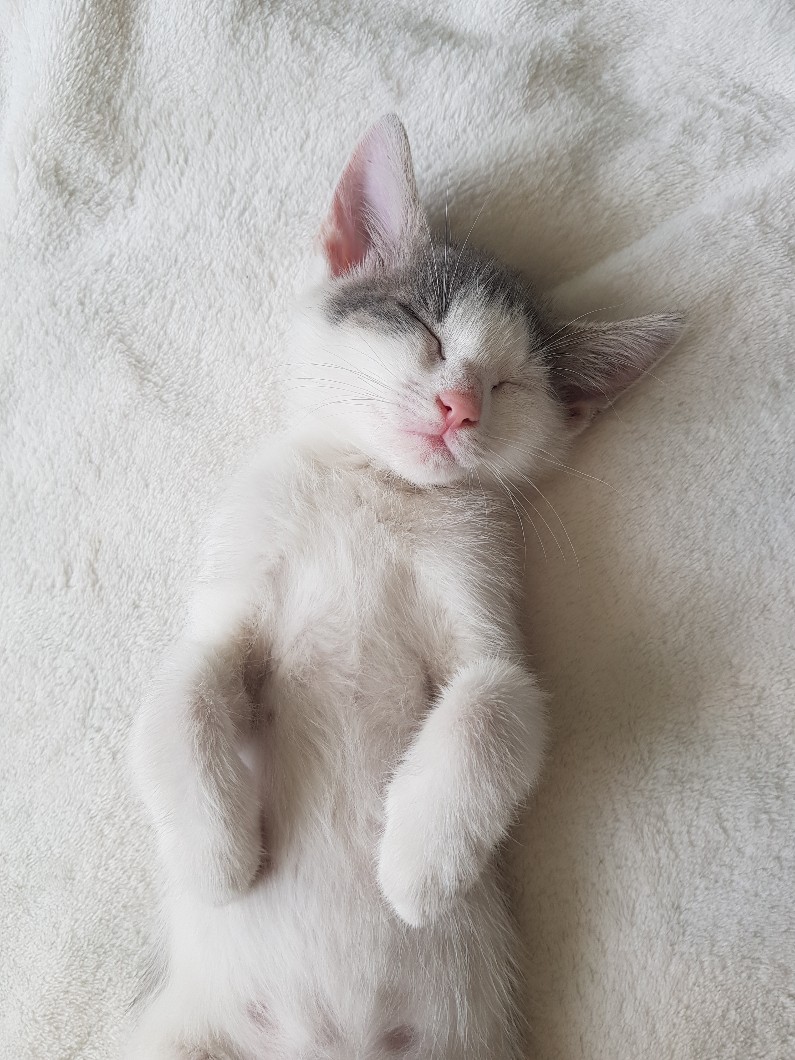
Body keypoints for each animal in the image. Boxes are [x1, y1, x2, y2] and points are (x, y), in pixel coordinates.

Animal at [126, 114, 681, 1059]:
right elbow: (187, 686)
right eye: (422, 326)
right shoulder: (237, 583)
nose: (460, 404)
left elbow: (496, 697)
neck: (374, 488)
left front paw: (417, 868)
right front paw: (215, 858)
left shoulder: (483, 600)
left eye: (510, 385)